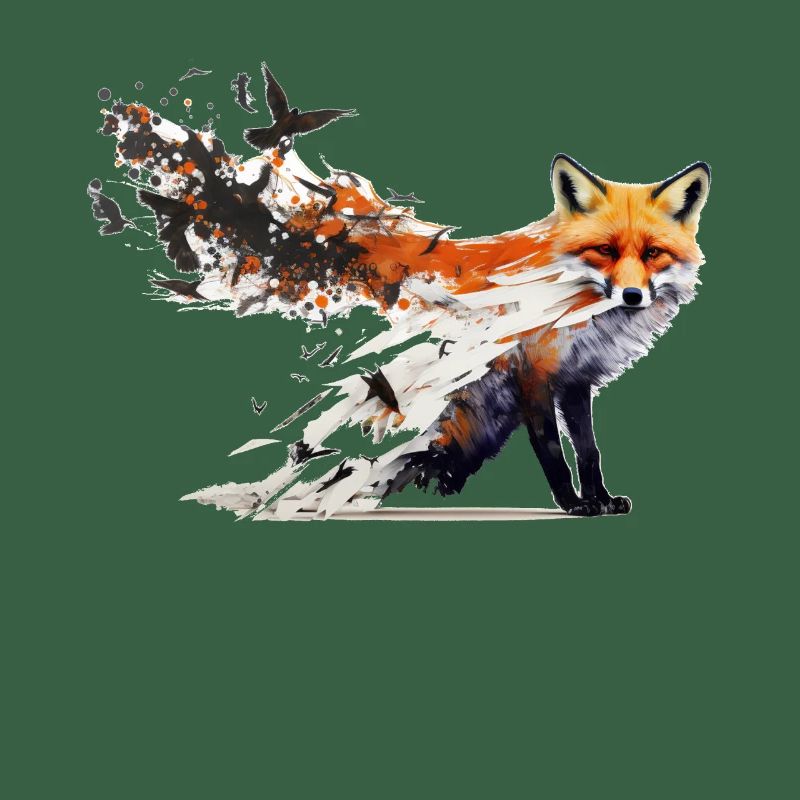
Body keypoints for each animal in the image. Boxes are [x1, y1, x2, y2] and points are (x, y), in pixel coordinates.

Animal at [94, 64, 710, 518]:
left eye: (652, 254)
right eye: (604, 251)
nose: (631, 297)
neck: (579, 307)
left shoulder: (577, 381)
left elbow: (589, 450)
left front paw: (601, 499)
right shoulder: (534, 375)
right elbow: (555, 452)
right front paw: (573, 504)